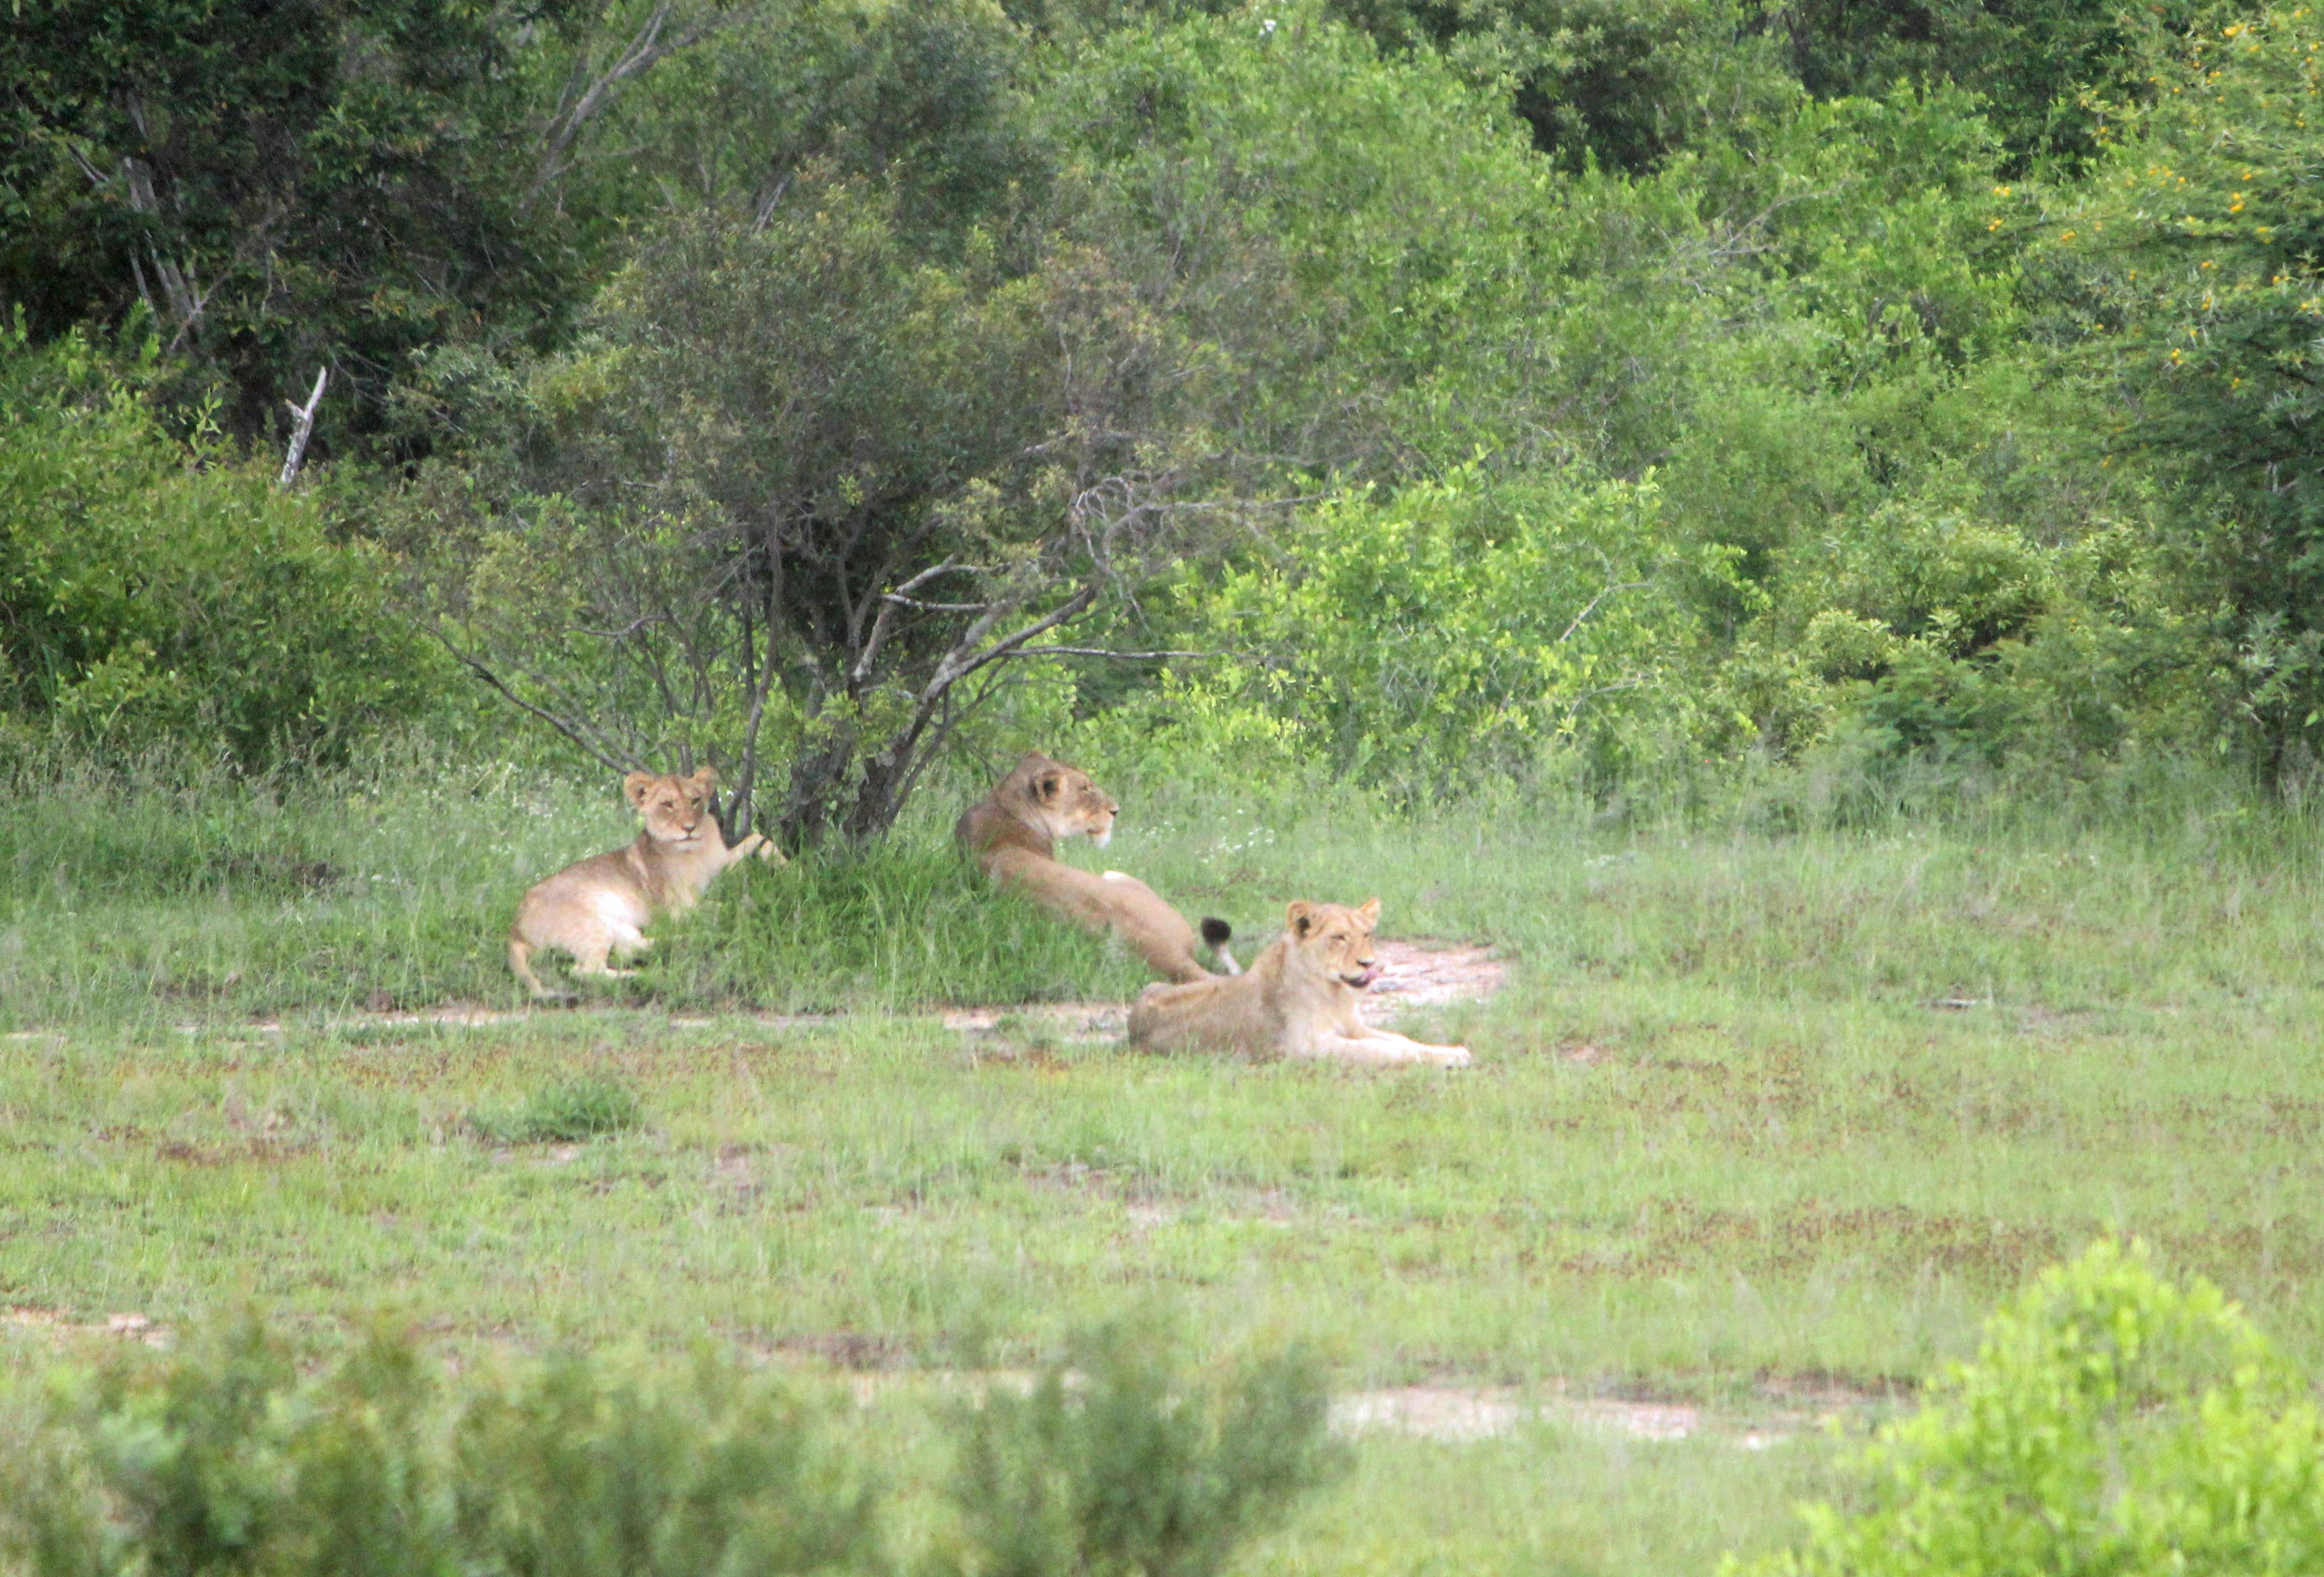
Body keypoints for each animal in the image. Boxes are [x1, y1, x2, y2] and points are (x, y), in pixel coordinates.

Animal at [509, 767, 780, 1000]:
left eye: (695, 800)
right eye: (667, 805)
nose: (689, 828)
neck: (696, 851)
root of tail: (516, 924)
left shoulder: (722, 861)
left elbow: (759, 839)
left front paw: (784, 865)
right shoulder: (680, 907)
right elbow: (719, 907)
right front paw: (745, 906)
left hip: (620, 927)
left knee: (631, 949)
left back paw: (685, 942)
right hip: (590, 925)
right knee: (585, 970)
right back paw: (640, 975)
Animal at [1125, 902, 1468, 1074]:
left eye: (1367, 934)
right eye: (1339, 937)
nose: (1369, 964)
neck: (1334, 994)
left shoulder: (1353, 1027)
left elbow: (1401, 1039)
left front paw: (1451, 1051)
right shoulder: (1308, 1048)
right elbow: (1382, 1050)